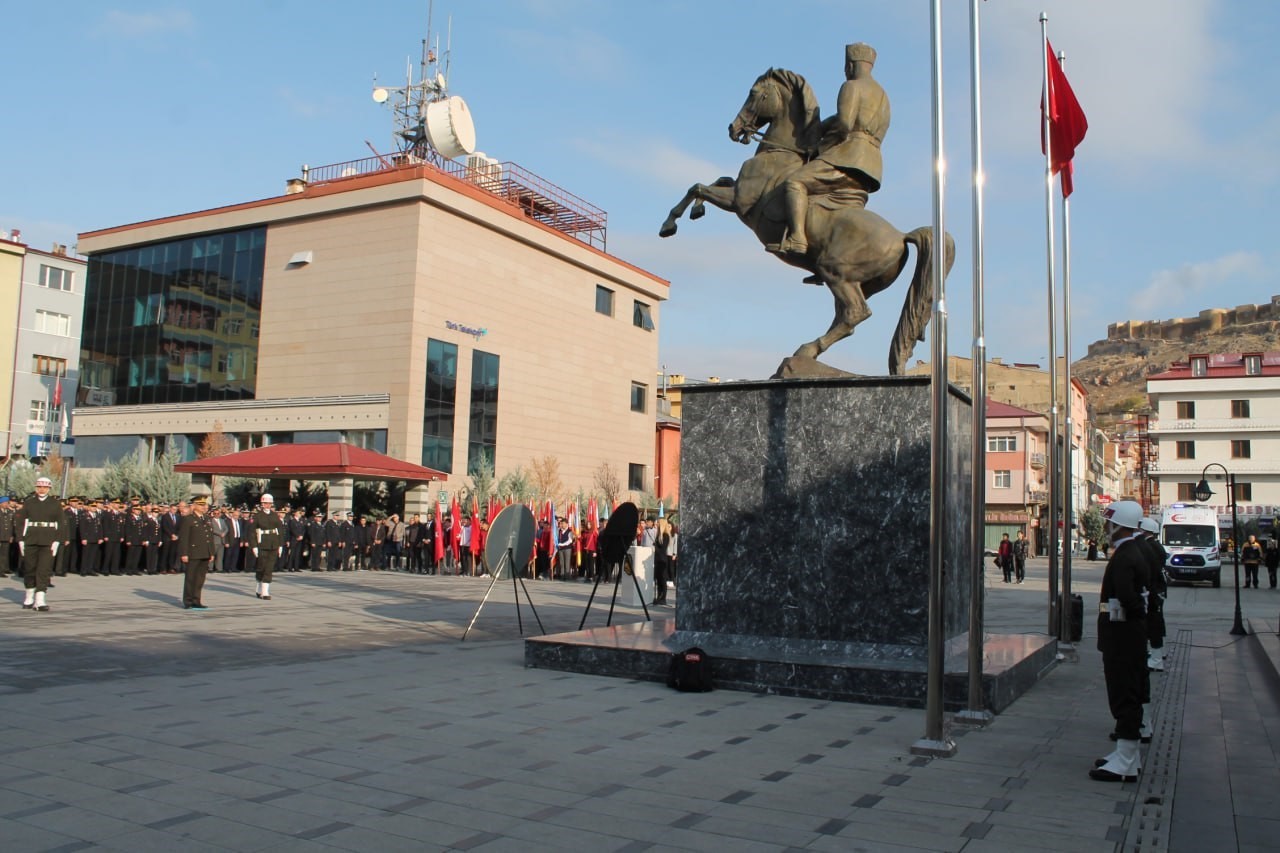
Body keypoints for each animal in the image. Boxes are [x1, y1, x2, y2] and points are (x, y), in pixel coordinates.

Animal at [660, 66, 952, 371]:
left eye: (754, 93)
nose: (734, 128)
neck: (780, 152)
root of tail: (900, 235)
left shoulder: (738, 203)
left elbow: (697, 186)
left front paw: (670, 223)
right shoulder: (735, 191)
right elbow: (717, 179)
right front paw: (695, 210)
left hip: (837, 272)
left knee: (855, 313)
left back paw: (805, 351)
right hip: (859, 282)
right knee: (845, 318)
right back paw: (807, 354)